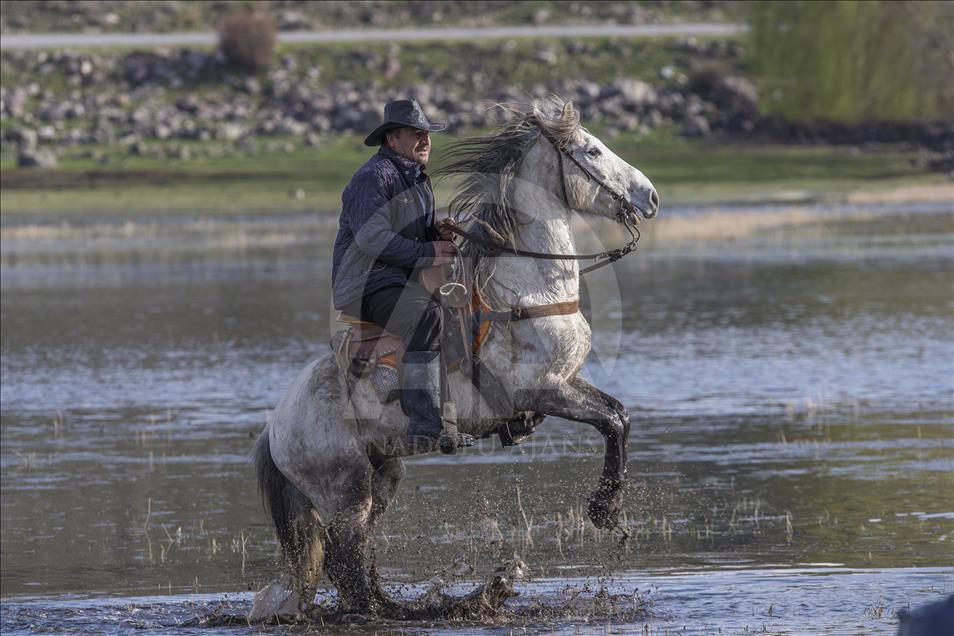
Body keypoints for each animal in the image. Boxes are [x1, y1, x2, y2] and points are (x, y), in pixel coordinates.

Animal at [250, 97, 659, 619]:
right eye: (592, 149)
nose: (650, 197)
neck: (527, 288)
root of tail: (276, 425)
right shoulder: (544, 390)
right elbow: (612, 422)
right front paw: (604, 510)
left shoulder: (567, 382)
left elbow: (619, 413)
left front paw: (609, 509)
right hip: (345, 491)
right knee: (348, 562)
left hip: (383, 475)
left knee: (355, 562)